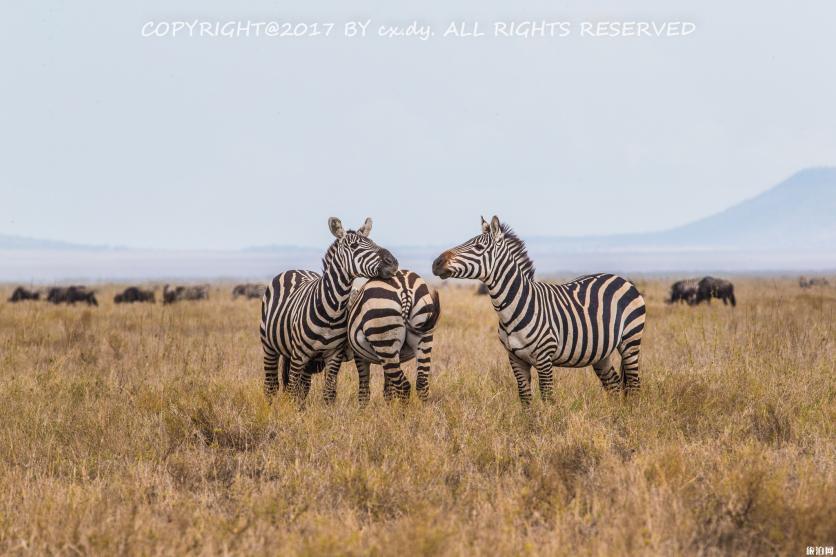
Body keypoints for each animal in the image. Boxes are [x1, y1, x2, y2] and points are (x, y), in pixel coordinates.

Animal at [262, 215, 400, 402]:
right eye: (354, 246)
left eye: (372, 241)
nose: (393, 263)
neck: (332, 312)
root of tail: (294, 270)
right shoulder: (299, 354)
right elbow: (292, 390)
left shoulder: (334, 354)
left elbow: (328, 393)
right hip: (269, 346)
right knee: (272, 385)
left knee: (303, 386)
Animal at [344, 270, 440, 404]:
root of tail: (405, 289)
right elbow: (388, 388)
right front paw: (389, 406)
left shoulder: (359, 356)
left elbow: (364, 389)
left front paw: (362, 408)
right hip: (422, 336)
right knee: (422, 384)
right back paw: (423, 410)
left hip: (384, 337)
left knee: (404, 386)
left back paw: (403, 410)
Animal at [432, 215, 648, 402]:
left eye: (478, 246)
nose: (436, 263)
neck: (516, 307)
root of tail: (622, 278)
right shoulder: (515, 358)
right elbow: (525, 398)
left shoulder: (545, 358)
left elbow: (547, 397)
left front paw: (549, 423)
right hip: (600, 352)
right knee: (614, 384)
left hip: (630, 341)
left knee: (634, 385)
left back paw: (630, 416)